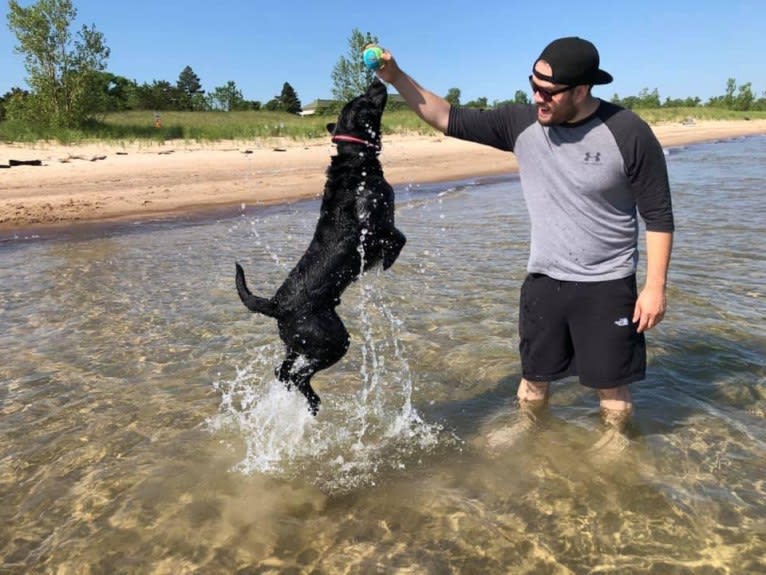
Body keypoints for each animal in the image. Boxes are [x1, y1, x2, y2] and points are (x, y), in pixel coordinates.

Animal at [236, 79, 408, 416]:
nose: (377, 81)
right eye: (365, 98)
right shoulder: (374, 227)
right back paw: (313, 402)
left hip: (297, 342)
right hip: (332, 340)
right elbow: (398, 237)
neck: (356, 160)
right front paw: (388, 260)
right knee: (298, 375)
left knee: (283, 371)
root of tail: (276, 305)